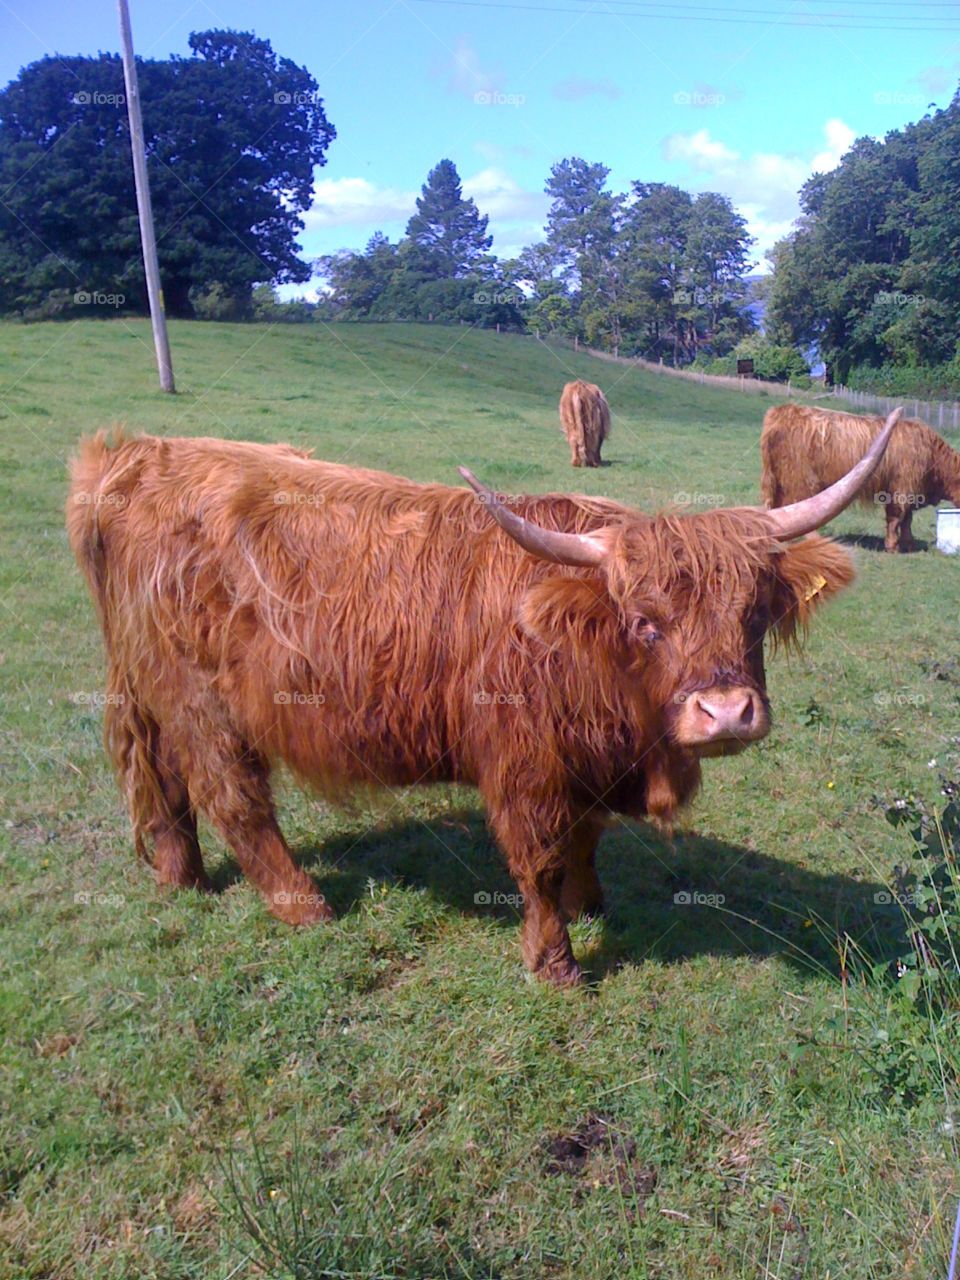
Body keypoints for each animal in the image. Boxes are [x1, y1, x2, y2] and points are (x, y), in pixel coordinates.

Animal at [66, 410, 900, 987]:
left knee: (164, 782)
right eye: (645, 621)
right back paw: (302, 903)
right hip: (201, 703)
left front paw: (590, 901)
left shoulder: (587, 764)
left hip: (152, 689)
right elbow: (539, 860)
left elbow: (586, 837)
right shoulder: (524, 763)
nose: (726, 713)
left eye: (754, 613)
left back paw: (182, 878)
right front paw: (556, 961)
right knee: (231, 796)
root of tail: (133, 455)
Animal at [761, 403, 960, 553]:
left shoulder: (909, 491)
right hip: (800, 481)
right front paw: (893, 546)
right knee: (798, 507)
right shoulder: (901, 488)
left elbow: (906, 520)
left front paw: (908, 544)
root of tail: (783, 411)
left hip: (778, 481)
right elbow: (896, 518)